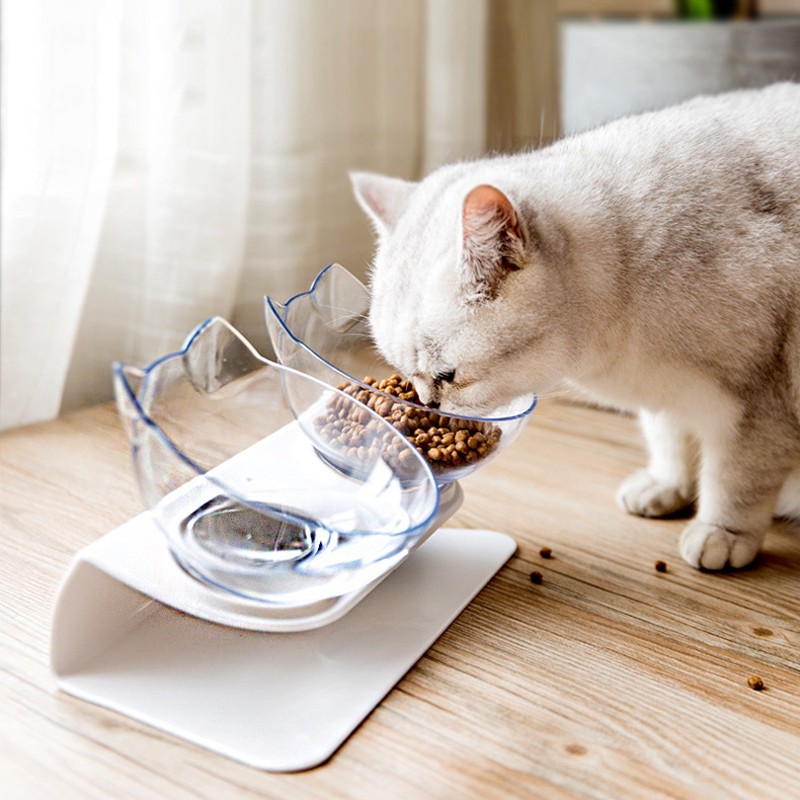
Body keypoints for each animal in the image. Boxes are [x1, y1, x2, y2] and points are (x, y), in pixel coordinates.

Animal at [354, 79, 800, 568]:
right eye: (406, 375)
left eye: (447, 376)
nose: (426, 406)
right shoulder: (668, 398)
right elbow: (670, 440)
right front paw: (666, 487)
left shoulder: (757, 404)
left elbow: (735, 478)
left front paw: (722, 533)